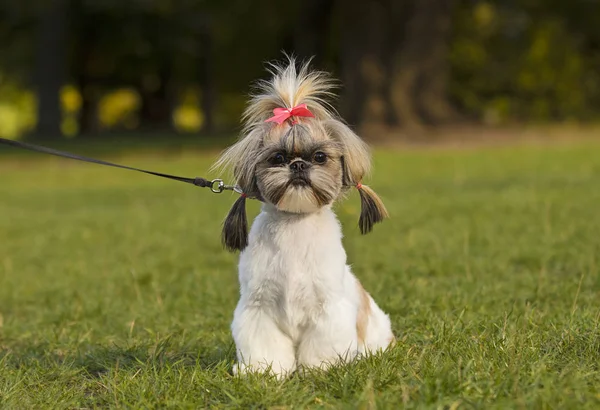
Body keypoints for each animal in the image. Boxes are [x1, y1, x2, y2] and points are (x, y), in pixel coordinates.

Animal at [214, 58, 394, 378]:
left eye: (319, 157)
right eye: (277, 158)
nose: (298, 165)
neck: (294, 226)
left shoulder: (328, 309)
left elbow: (323, 344)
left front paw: (321, 369)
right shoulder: (258, 308)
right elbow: (264, 346)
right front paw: (264, 372)